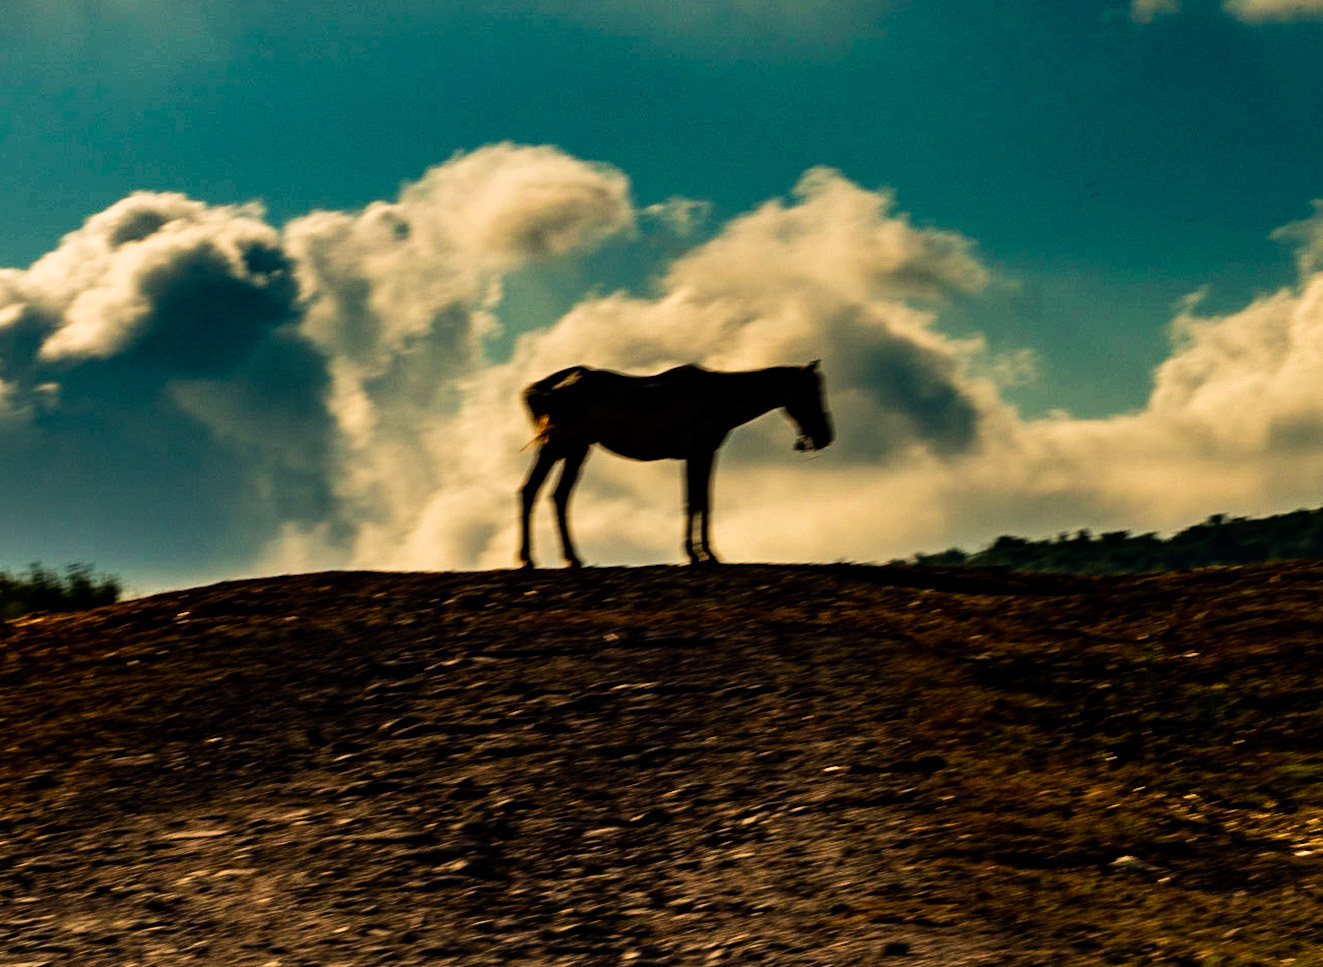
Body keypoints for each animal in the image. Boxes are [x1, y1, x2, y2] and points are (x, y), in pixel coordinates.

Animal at [517, 361, 834, 568]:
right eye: (809, 392)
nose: (825, 436)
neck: (714, 396)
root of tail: (555, 386)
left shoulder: (704, 456)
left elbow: (702, 501)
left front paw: (705, 554)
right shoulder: (695, 455)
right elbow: (695, 502)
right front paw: (698, 555)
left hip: (576, 450)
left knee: (558, 496)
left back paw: (571, 558)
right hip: (557, 448)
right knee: (531, 491)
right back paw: (528, 558)